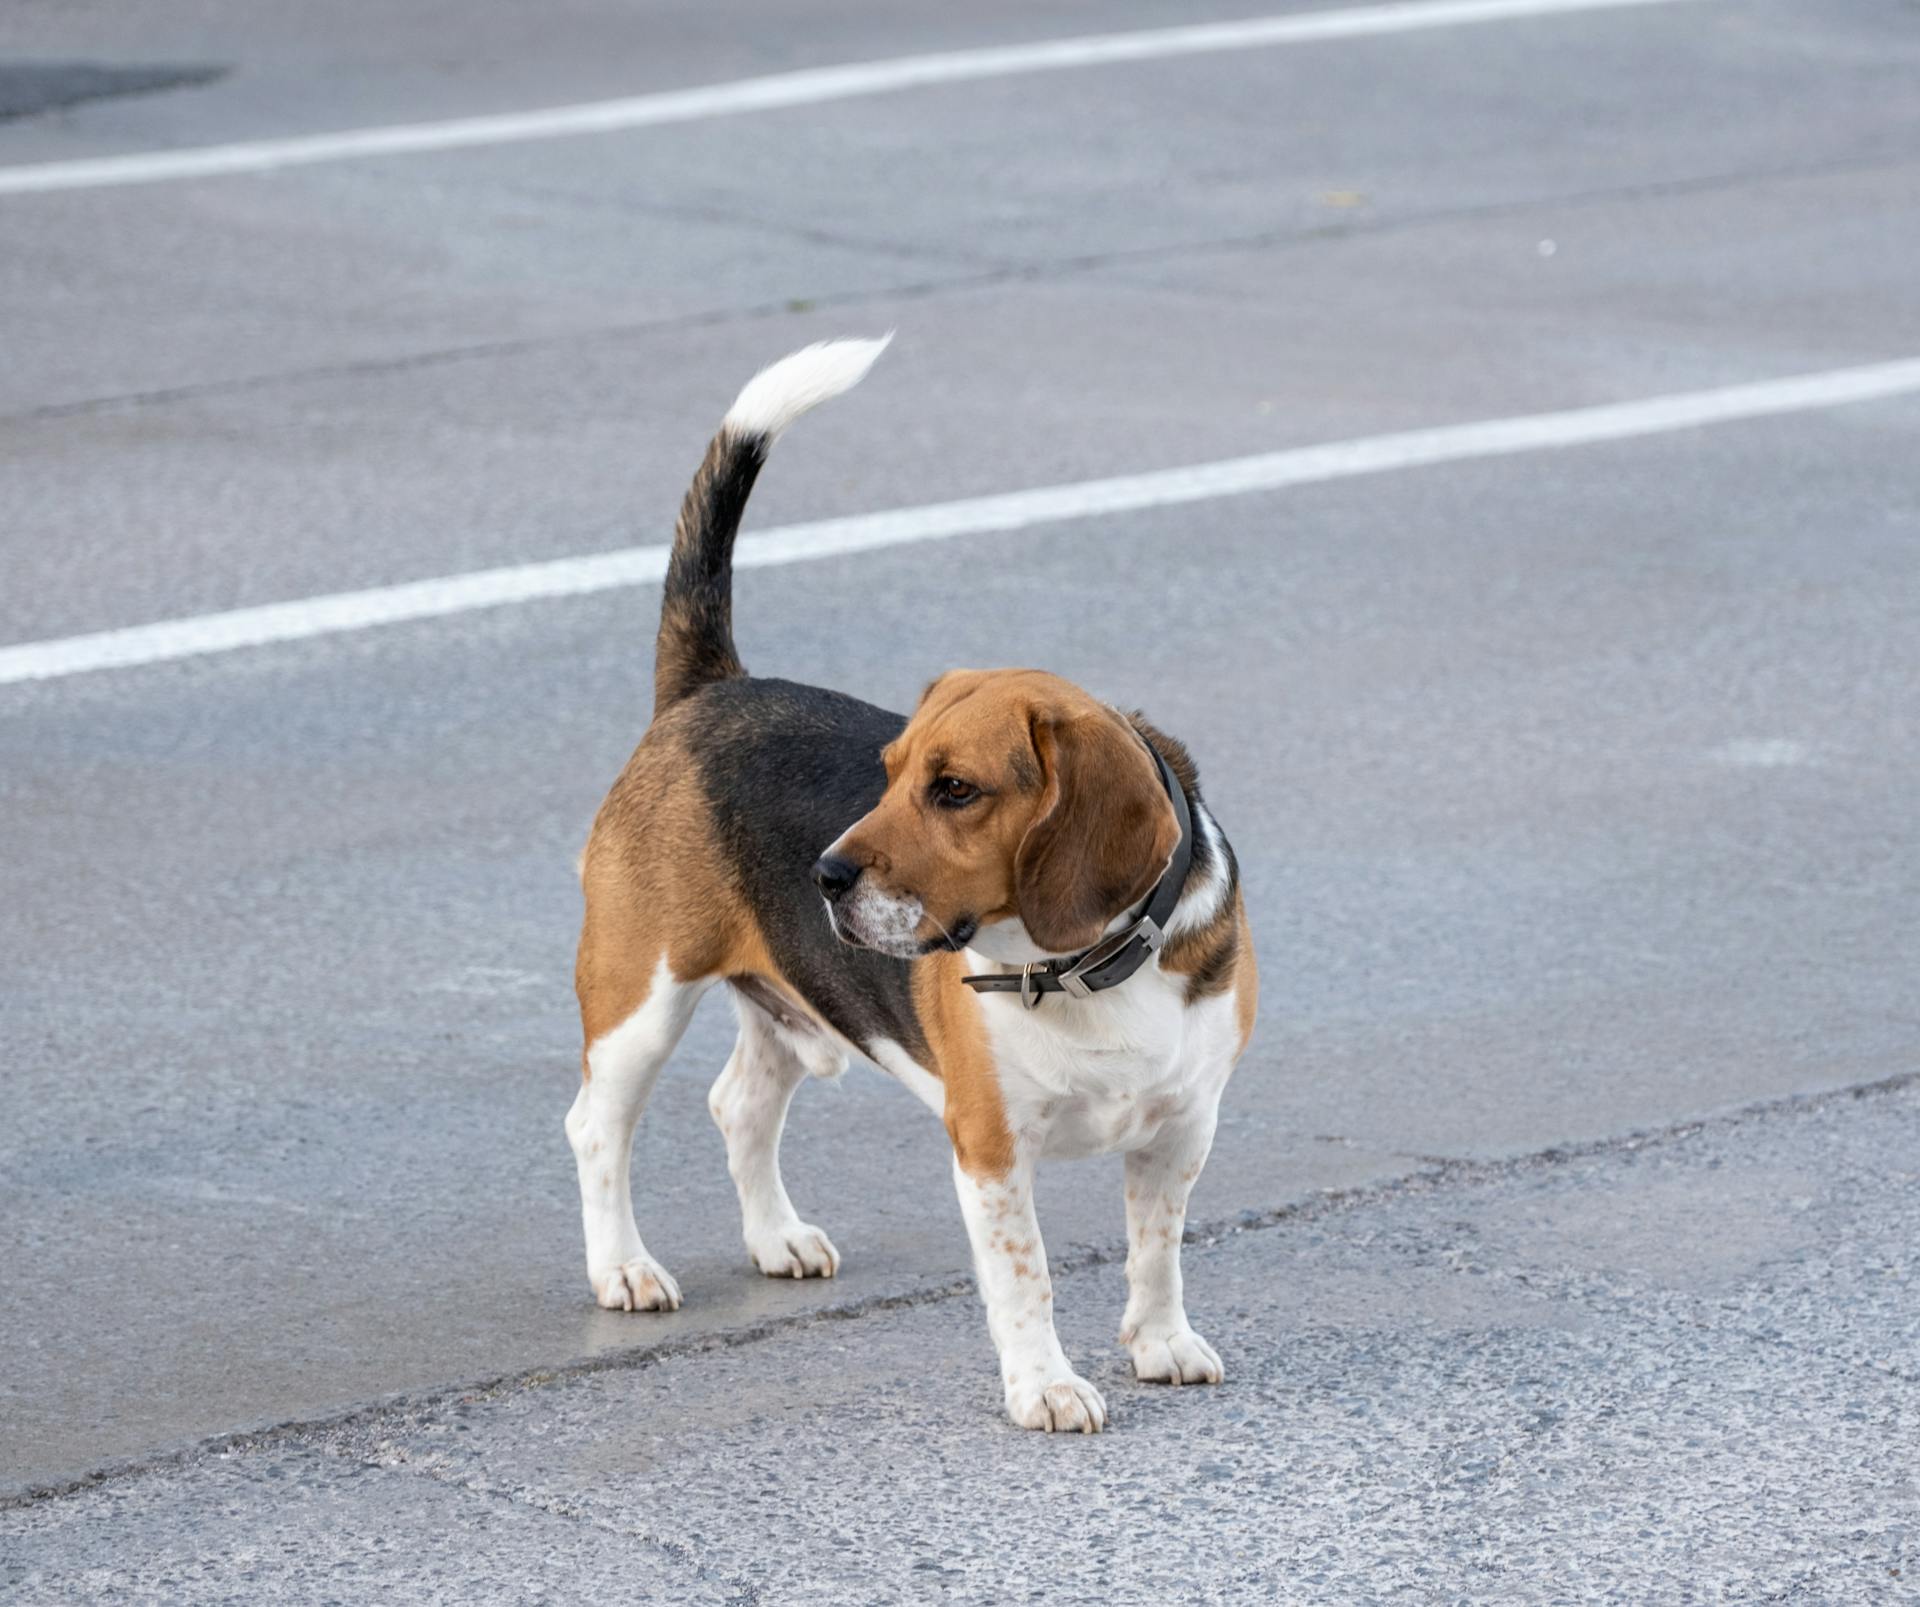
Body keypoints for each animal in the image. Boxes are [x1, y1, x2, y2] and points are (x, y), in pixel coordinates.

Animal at [568, 335, 1259, 1428]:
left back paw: (777, 1236)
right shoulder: (990, 1146)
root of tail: (711, 688)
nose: (824, 874)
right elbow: (1027, 1275)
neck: (1085, 965)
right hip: (639, 995)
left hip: (786, 998)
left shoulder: (1183, 1127)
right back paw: (624, 1268)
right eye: (887, 772)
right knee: (597, 1128)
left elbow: (1159, 1249)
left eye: (954, 789)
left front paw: (1160, 1342)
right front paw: (1046, 1385)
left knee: (739, 1105)